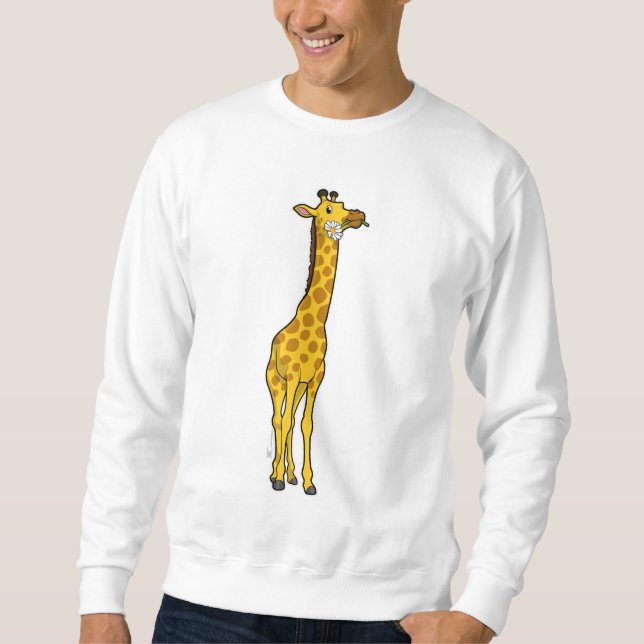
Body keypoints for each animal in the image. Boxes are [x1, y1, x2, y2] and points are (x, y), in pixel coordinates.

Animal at [265, 188, 369, 495]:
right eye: (329, 210)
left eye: (342, 203)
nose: (358, 215)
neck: (316, 322)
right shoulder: (291, 376)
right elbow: (287, 421)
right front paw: (278, 478)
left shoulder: (315, 377)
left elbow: (306, 423)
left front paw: (308, 481)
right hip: (275, 382)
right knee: (278, 419)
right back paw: (275, 475)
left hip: (297, 387)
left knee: (289, 419)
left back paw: (290, 475)